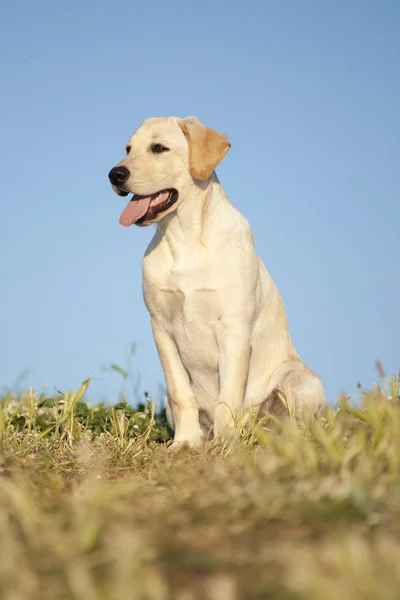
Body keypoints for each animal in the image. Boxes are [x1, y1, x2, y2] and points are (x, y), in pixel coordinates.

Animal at [108, 116, 324, 446]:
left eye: (159, 148)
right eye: (128, 149)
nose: (114, 175)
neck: (184, 236)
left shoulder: (233, 327)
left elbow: (229, 395)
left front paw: (226, 444)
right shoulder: (161, 328)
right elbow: (181, 393)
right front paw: (185, 442)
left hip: (301, 381)